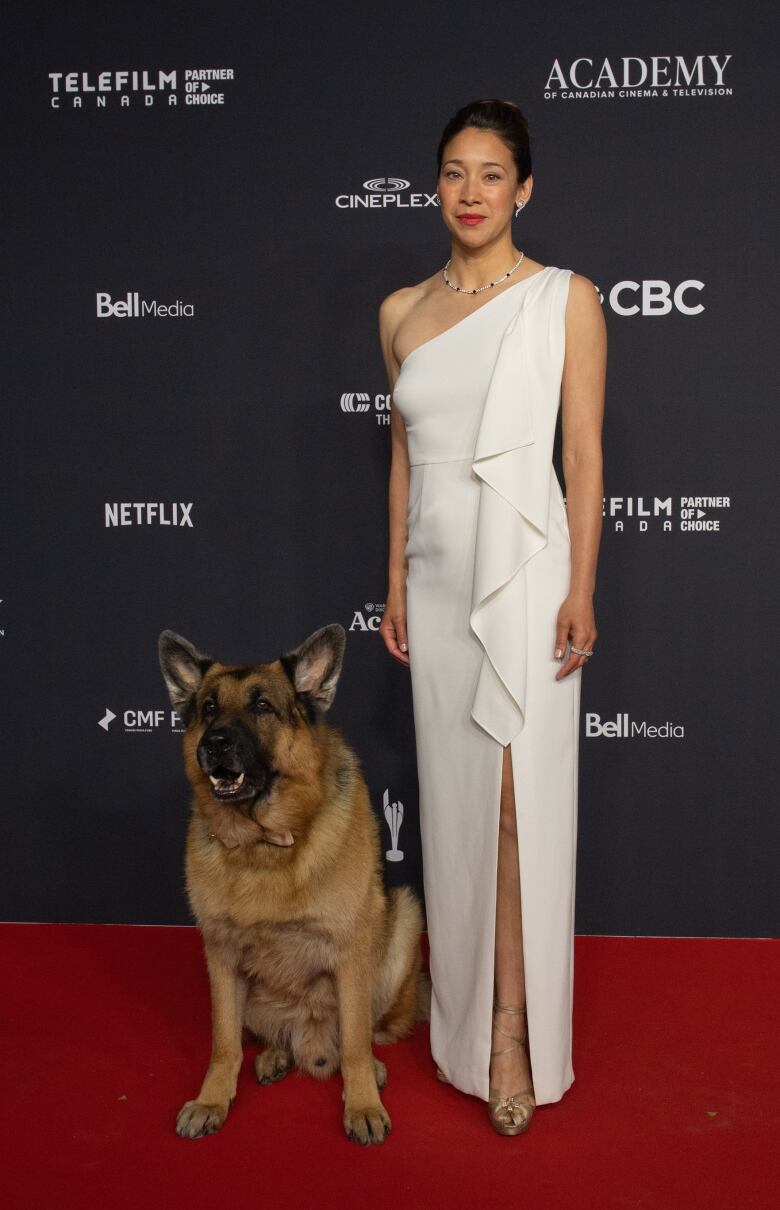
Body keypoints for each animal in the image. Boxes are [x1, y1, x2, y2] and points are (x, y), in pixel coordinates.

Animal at [158, 624, 425, 1142]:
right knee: (268, 1033)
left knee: (363, 1034)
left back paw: (370, 1068)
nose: (214, 744)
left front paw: (362, 1104)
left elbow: (356, 1045)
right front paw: (212, 1099)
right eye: (208, 708)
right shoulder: (220, 955)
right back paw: (277, 1054)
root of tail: (310, 1039)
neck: (263, 843)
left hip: (402, 919)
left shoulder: (351, 950)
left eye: (263, 706)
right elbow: (224, 1043)